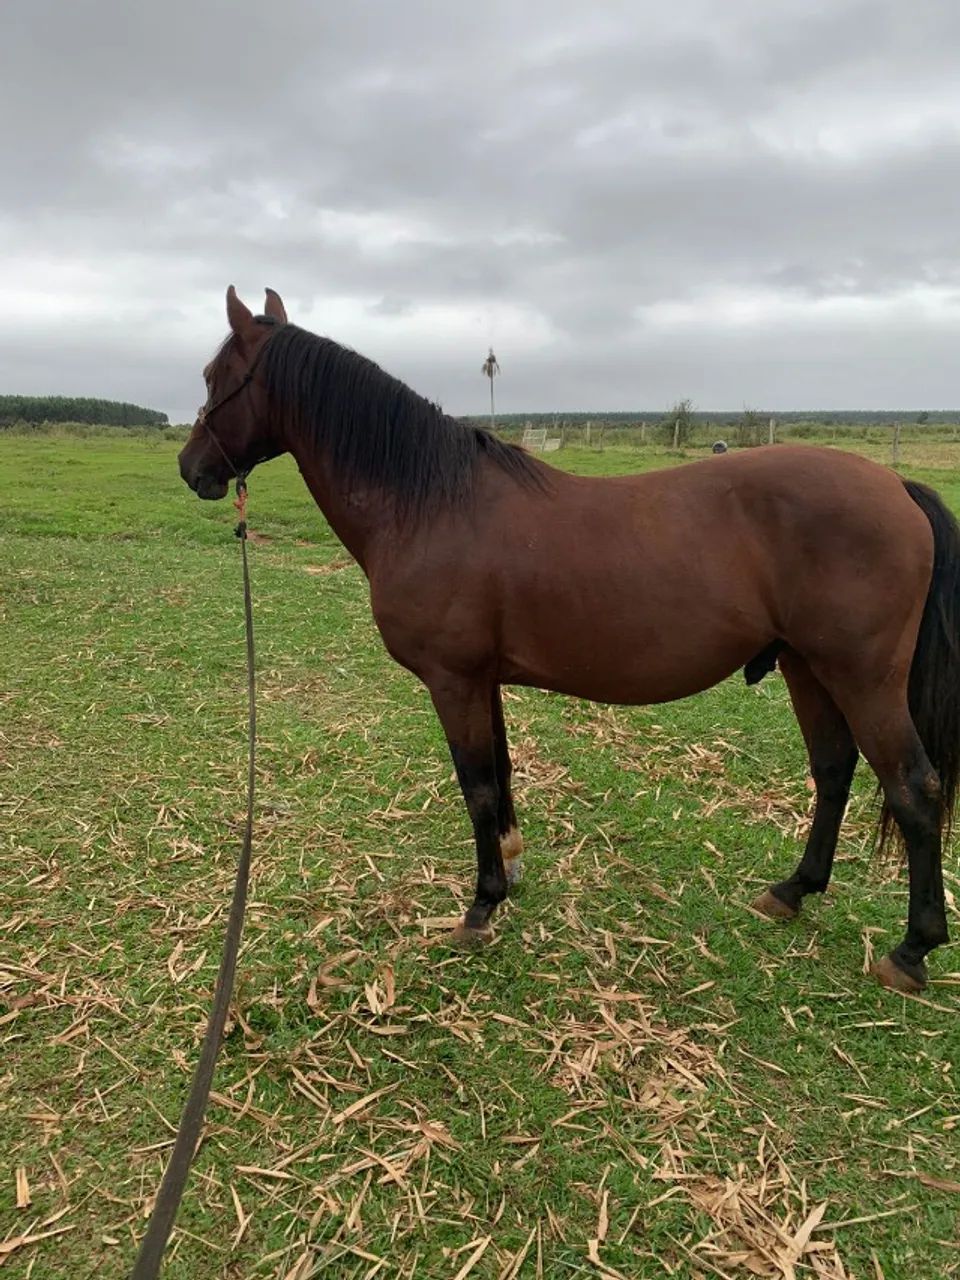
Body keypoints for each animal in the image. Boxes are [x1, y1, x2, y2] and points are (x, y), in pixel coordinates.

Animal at [178, 286, 960, 994]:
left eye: (217, 378)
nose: (192, 471)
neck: (430, 504)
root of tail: (896, 484)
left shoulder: (453, 679)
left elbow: (477, 784)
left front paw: (482, 906)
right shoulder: (482, 679)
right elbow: (500, 774)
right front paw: (511, 864)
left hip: (860, 676)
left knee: (914, 788)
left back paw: (911, 950)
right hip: (808, 667)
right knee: (834, 770)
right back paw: (793, 891)